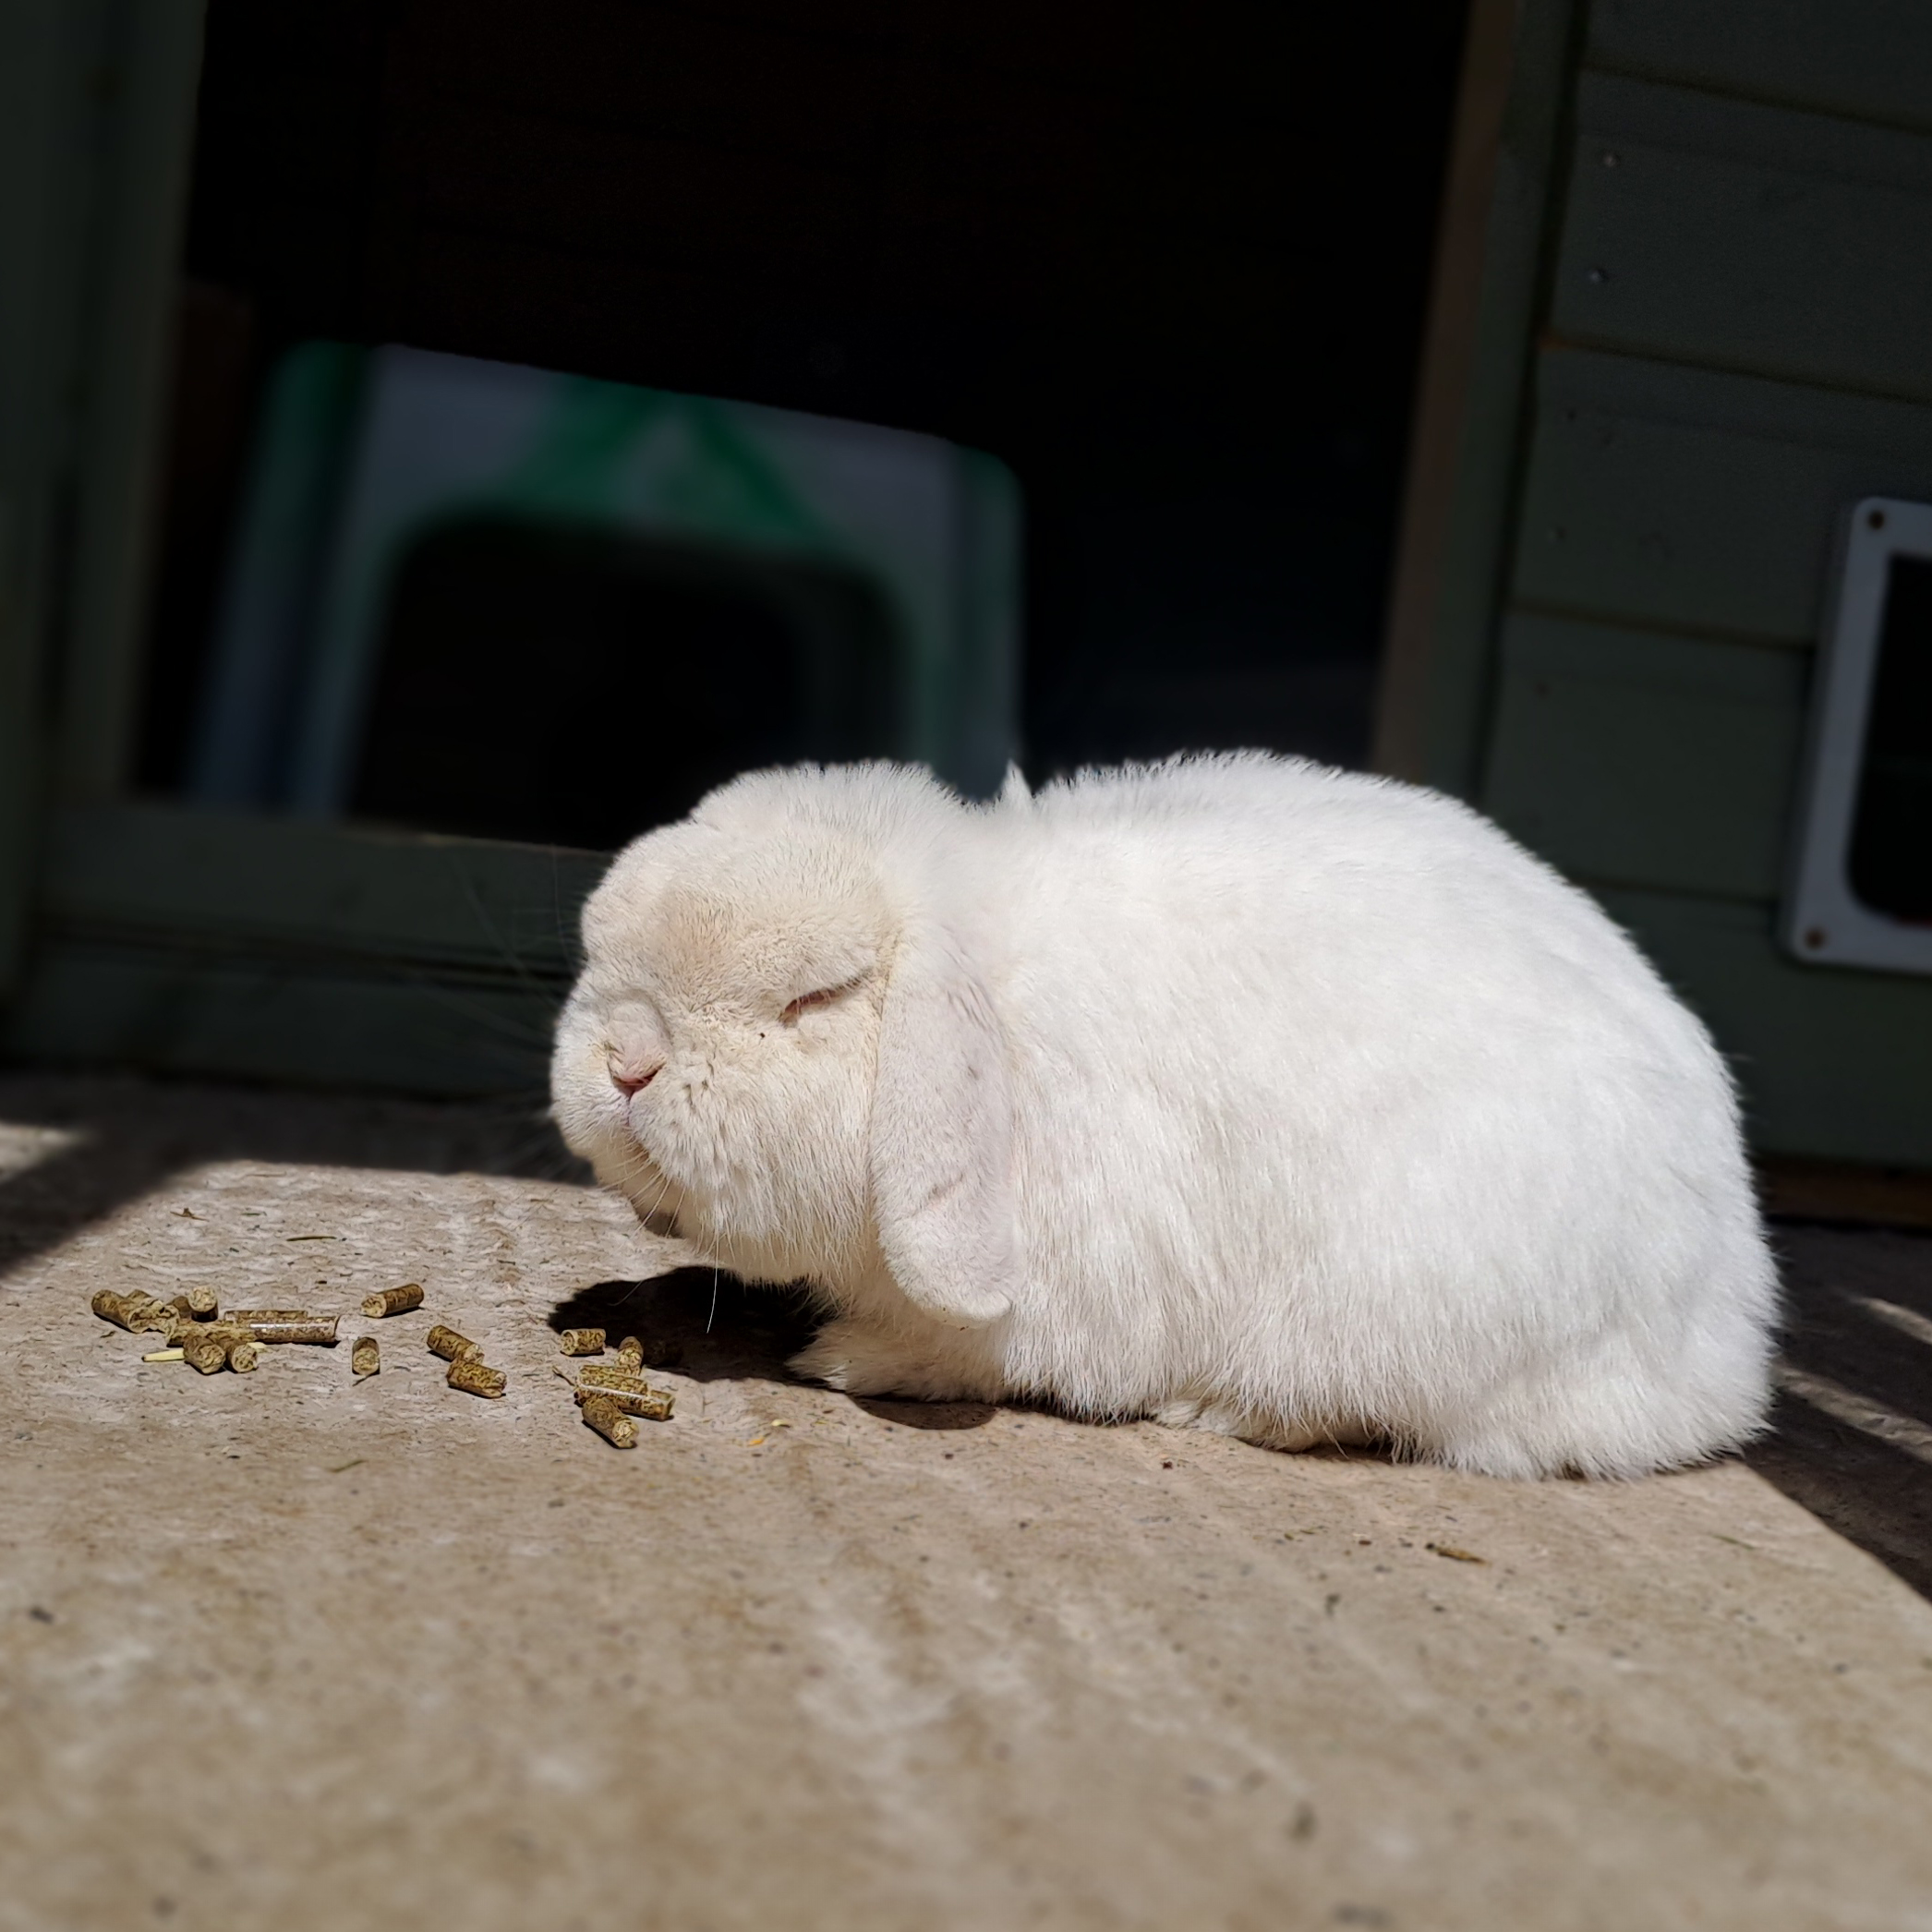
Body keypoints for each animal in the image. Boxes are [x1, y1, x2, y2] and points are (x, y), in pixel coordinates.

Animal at [550, 752, 1777, 1479]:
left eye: (817, 998)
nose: (626, 1062)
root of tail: (1723, 1356)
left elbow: (957, 1350)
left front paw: (844, 1360)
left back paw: (1219, 1411)